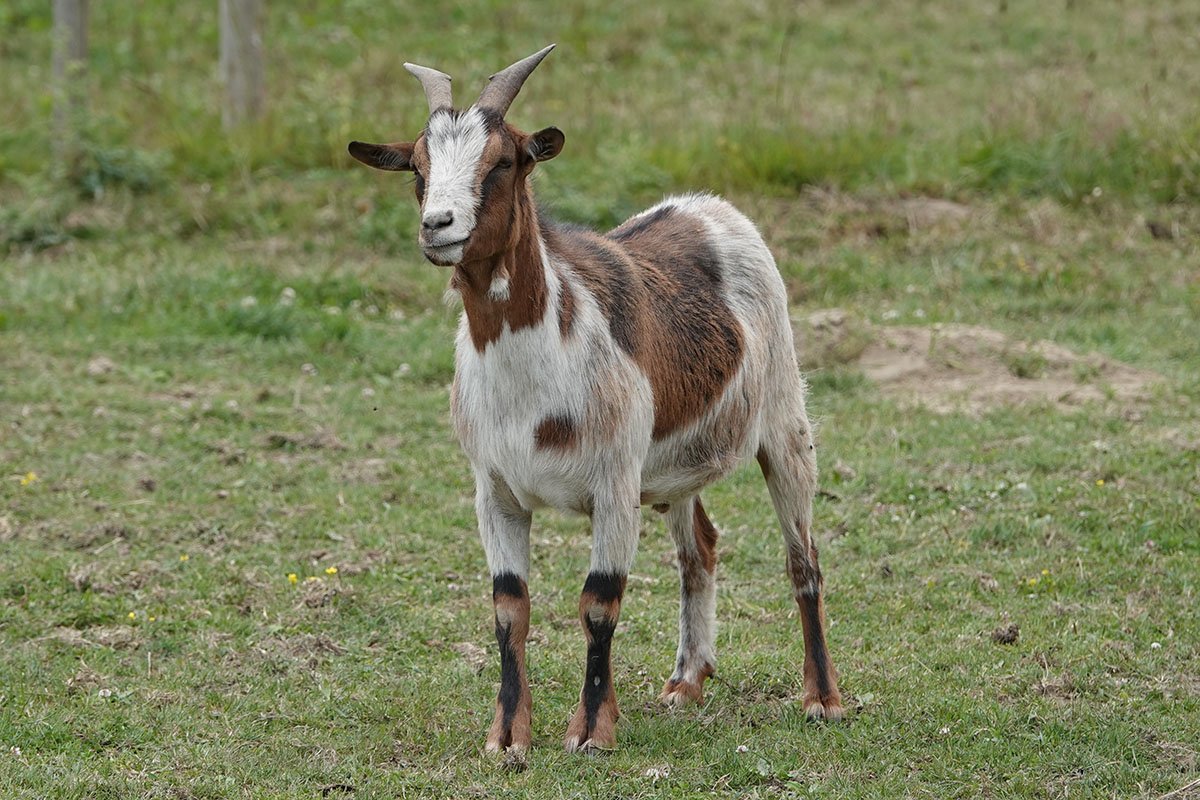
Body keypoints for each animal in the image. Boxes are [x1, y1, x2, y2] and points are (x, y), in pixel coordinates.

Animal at [348, 44, 843, 755]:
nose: (437, 226)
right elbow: (509, 606)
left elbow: (599, 602)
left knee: (803, 557)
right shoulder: (494, 487)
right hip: (668, 467)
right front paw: (508, 738)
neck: (536, 383)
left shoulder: (612, 481)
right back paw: (686, 680)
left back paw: (823, 698)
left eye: (504, 161)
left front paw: (590, 732)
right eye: (417, 166)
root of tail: (706, 206)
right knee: (699, 548)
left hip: (781, 418)